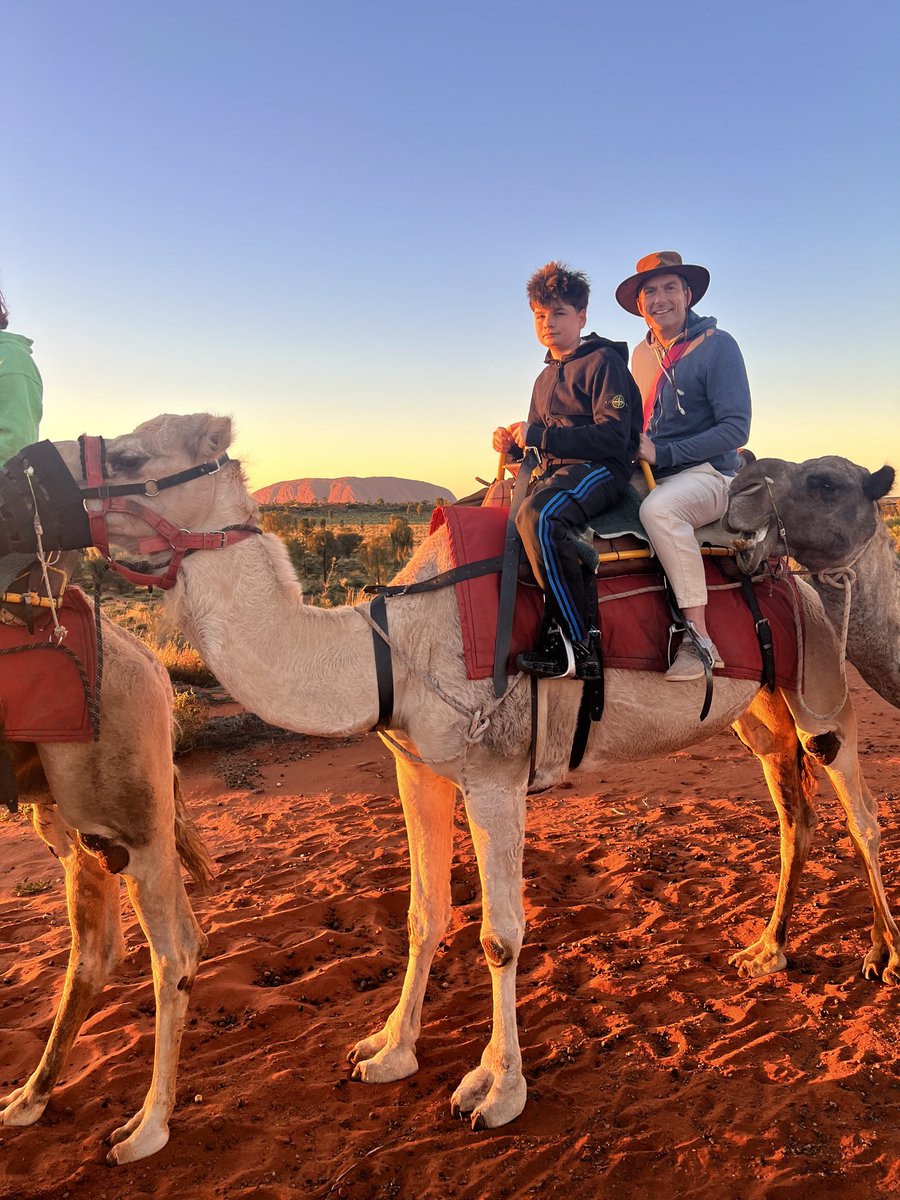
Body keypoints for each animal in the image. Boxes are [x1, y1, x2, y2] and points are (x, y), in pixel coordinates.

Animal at [0, 614, 213, 1156]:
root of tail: (153, 665)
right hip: (70, 815)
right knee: (98, 949)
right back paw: (27, 1101)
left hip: (119, 809)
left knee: (175, 951)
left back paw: (145, 1131)